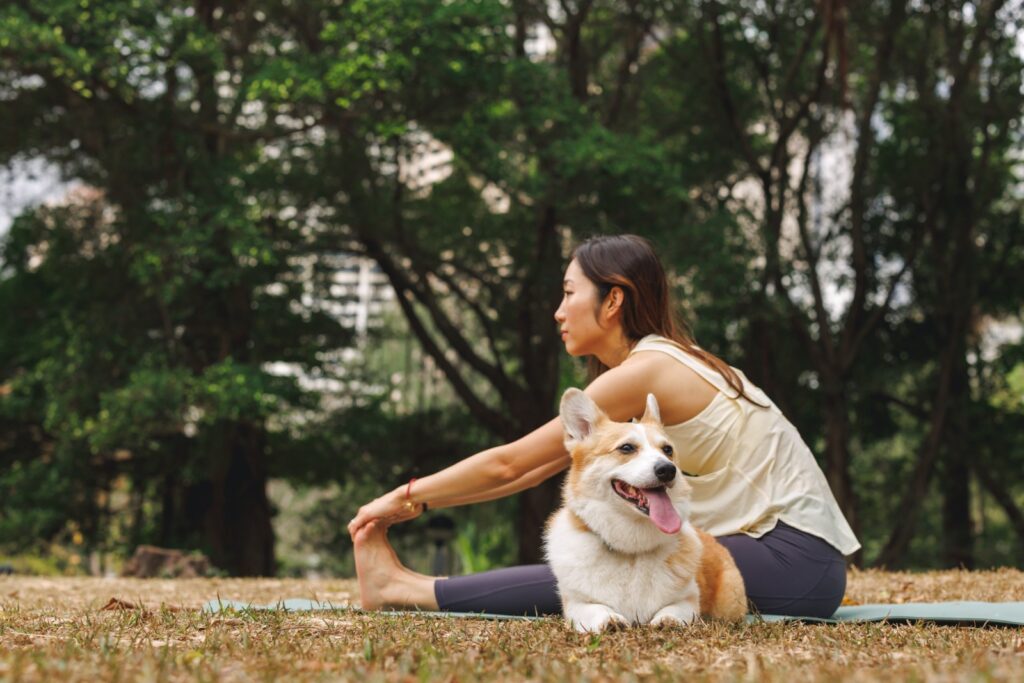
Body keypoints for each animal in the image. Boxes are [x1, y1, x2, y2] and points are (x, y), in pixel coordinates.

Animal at [544, 387, 745, 634]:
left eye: (668, 450)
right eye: (626, 448)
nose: (668, 470)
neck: (632, 550)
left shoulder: (688, 600)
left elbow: (675, 608)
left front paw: (668, 620)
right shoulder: (576, 603)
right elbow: (595, 608)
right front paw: (609, 620)